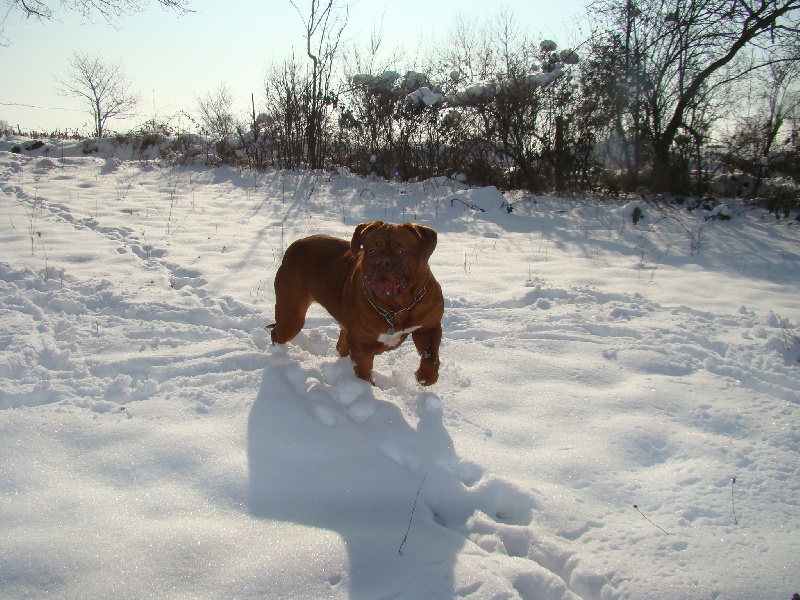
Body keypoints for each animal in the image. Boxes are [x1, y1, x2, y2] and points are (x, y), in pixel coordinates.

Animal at [268, 220, 444, 384]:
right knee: (277, 332)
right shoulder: (361, 347)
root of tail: (295, 245)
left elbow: (431, 356)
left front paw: (426, 377)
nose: (383, 262)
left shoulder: (429, 328)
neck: (396, 306)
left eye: (402, 252)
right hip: (291, 317)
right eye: (372, 251)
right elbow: (364, 373)